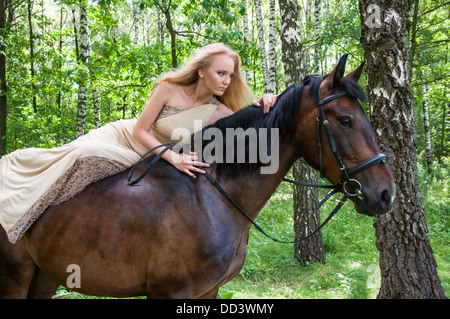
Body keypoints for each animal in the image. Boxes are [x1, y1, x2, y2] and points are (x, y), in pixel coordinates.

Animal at [0, 55, 394, 300]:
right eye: (345, 120)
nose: (385, 194)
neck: (211, 198)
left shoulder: (210, 290)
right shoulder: (170, 292)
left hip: (45, 277)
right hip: (14, 279)